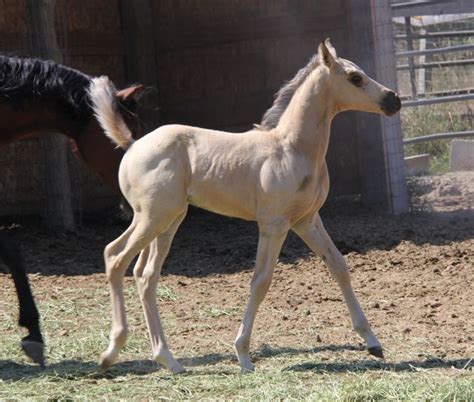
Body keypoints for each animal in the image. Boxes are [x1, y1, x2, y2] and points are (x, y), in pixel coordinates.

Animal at [89, 39, 400, 372]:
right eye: (355, 78)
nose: (393, 99)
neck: (292, 148)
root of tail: (133, 145)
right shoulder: (274, 225)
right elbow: (260, 281)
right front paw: (243, 354)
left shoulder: (307, 220)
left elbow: (339, 266)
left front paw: (373, 342)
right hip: (152, 218)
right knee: (115, 257)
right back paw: (111, 353)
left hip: (168, 221)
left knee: (145, 275)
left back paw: (167, 359)